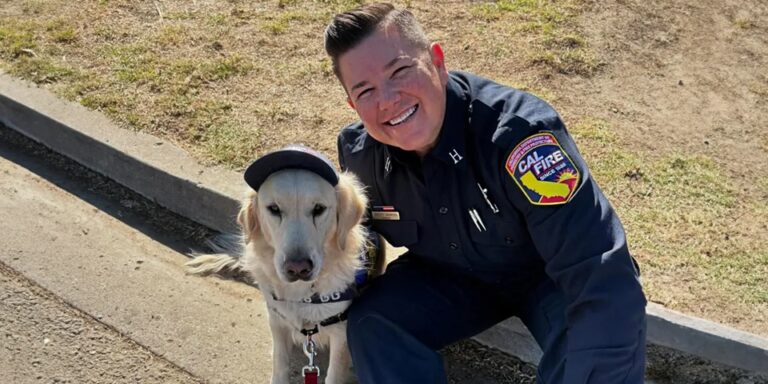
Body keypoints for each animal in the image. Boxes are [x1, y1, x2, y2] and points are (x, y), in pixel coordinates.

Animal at [187, 146, 384, 384]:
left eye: (319, 209)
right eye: (274, 209)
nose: (298, 268)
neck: (303, 294)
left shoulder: (340, 332)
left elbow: (333, 375)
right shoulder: (277, 320)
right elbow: (279, 364)